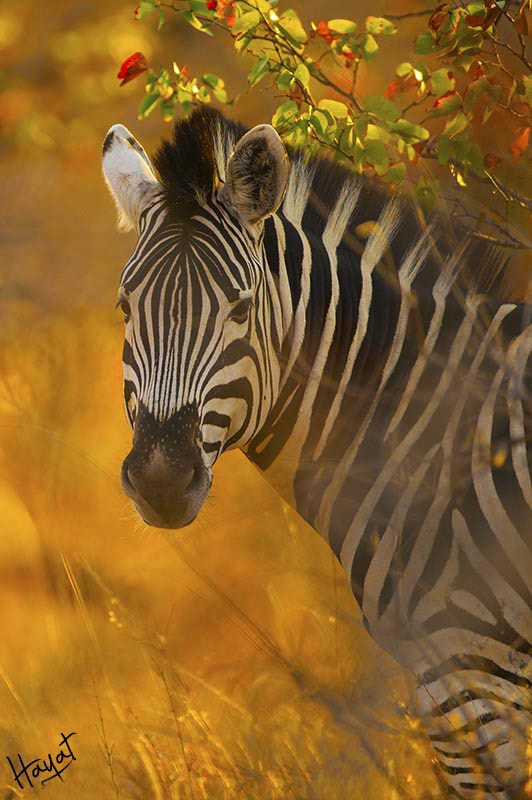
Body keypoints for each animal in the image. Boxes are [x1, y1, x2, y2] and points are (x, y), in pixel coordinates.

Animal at [102, 108, 528, 800]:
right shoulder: (465, 673)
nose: (162, 481)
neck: (425, 426)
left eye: (241, 308)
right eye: (125, 307)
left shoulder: (467, 667)